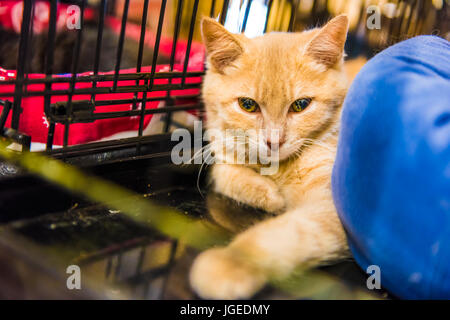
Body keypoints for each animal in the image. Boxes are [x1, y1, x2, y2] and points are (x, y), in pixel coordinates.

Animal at [191, 15, 358, 300]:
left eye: (301, 105)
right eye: (247, 105)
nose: (274, 141)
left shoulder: (332, 208)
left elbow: (290, 231)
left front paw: (232, 262)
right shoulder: (222, 154)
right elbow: (226, 174)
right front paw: (270, 195)